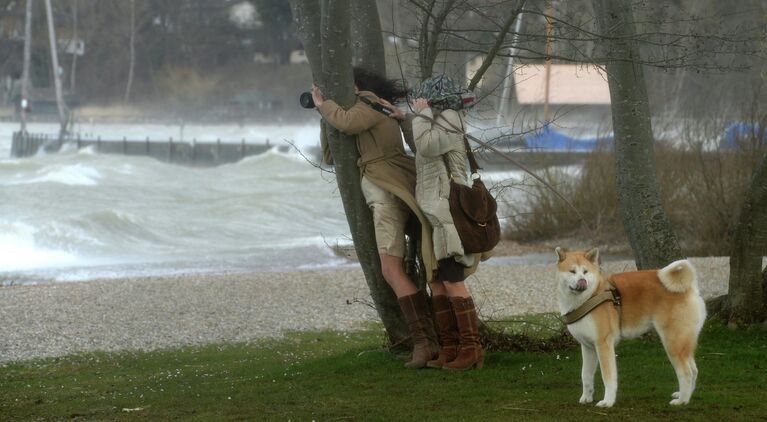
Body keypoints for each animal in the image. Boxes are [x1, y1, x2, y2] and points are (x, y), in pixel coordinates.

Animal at [556, 249, 704, 408]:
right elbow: (586, 375)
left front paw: (608, 401)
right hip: (684, 342)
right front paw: (586, 398)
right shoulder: (588, 347)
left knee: (687, 372)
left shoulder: (603, 344)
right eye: (572, 271)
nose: (582, 281)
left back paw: (682, 400)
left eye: (585, 271)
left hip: (673, 343)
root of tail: (689, 288)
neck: (590, 296)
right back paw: (686, 396)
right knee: (694, 370)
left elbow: (608, 377)